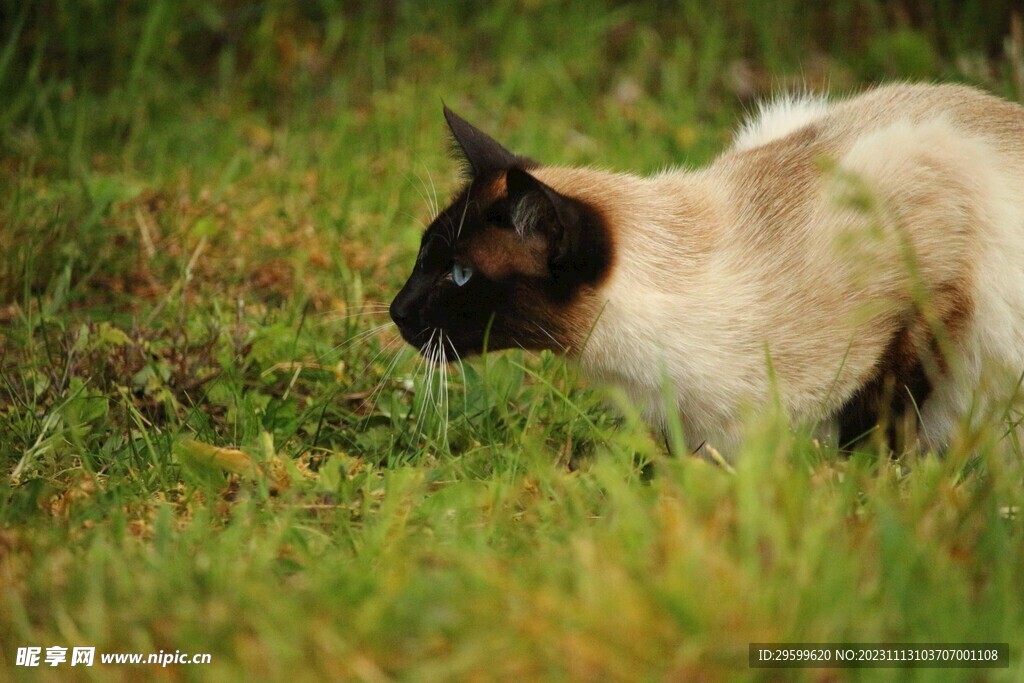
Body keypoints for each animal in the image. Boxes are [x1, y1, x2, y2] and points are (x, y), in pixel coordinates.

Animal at [385, 83, 1024, 454]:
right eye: (423, 258)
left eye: (459, 275)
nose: (395, 311)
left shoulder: (928, 284)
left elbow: (879, 418)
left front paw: (856, 493)